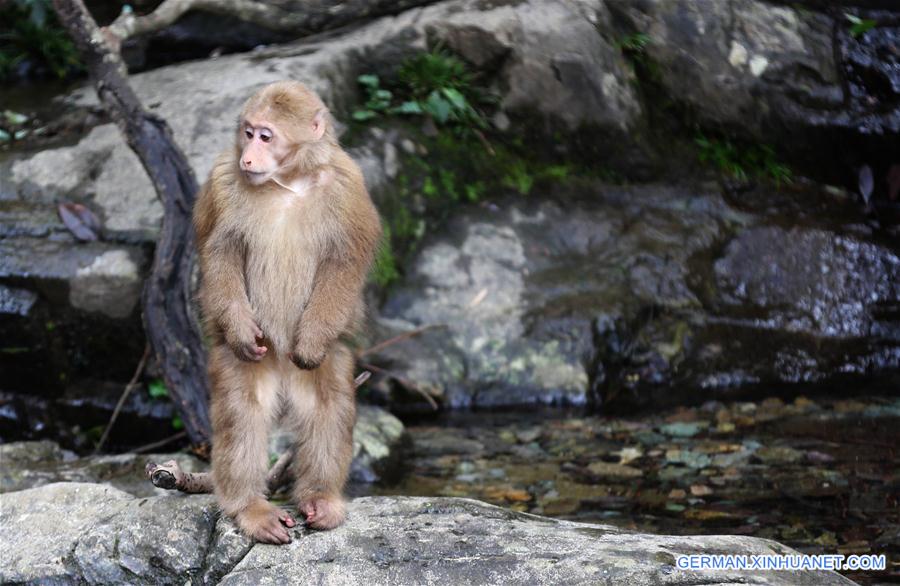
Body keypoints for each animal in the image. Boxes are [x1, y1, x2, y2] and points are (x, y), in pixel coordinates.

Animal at [193, 80, 380, 540]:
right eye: (247, 133)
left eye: (266, 136)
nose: (248, 157)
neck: (287, 180)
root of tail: (280, 367)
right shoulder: (222, 180)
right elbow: (221, 253)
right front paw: (240, 331)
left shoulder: (348, 184)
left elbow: (343, 262)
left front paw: (311, 342)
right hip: (251, 361)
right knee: (241, 410)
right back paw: (250, 508)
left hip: (317, 362)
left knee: (329, 403)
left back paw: (320, 497)